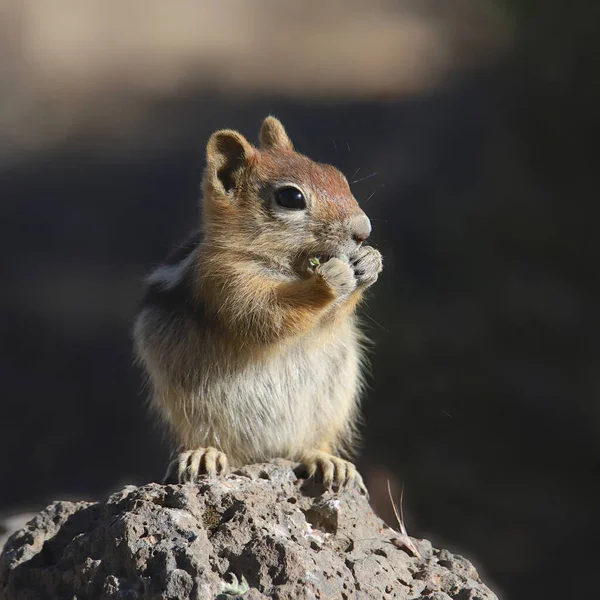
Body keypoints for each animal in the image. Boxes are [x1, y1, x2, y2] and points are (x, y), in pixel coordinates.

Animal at [134, 116, 382, 492]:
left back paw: (326, 460)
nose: (363, 231)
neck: (289, 267)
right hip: (193, 409)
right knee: (208, 438)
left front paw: (369, 262)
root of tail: (267, 453)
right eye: (291, 197)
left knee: (309, 446)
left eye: (337, 175)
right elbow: (265, 317)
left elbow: (329, 318)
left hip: (333, 399)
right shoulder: (225, 281)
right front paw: (330, 278)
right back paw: (203, 455)